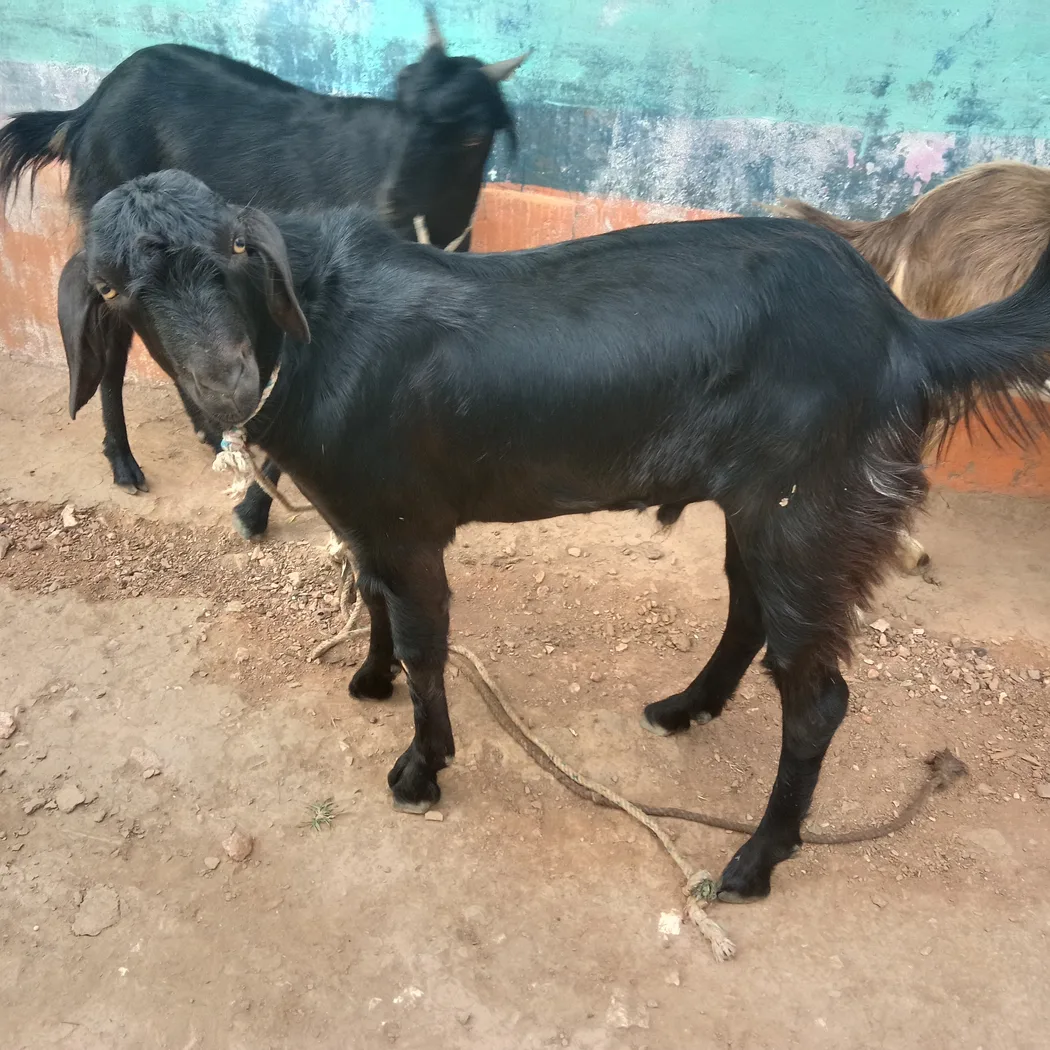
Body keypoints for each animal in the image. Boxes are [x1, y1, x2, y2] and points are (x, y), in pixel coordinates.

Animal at [0, 7, 528, 540]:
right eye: (401, 108)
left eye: (473, 137)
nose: (388, 207)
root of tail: (85, 110)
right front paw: (253, 511)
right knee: (113, 352)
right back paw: (125, 464)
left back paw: (210, 431)